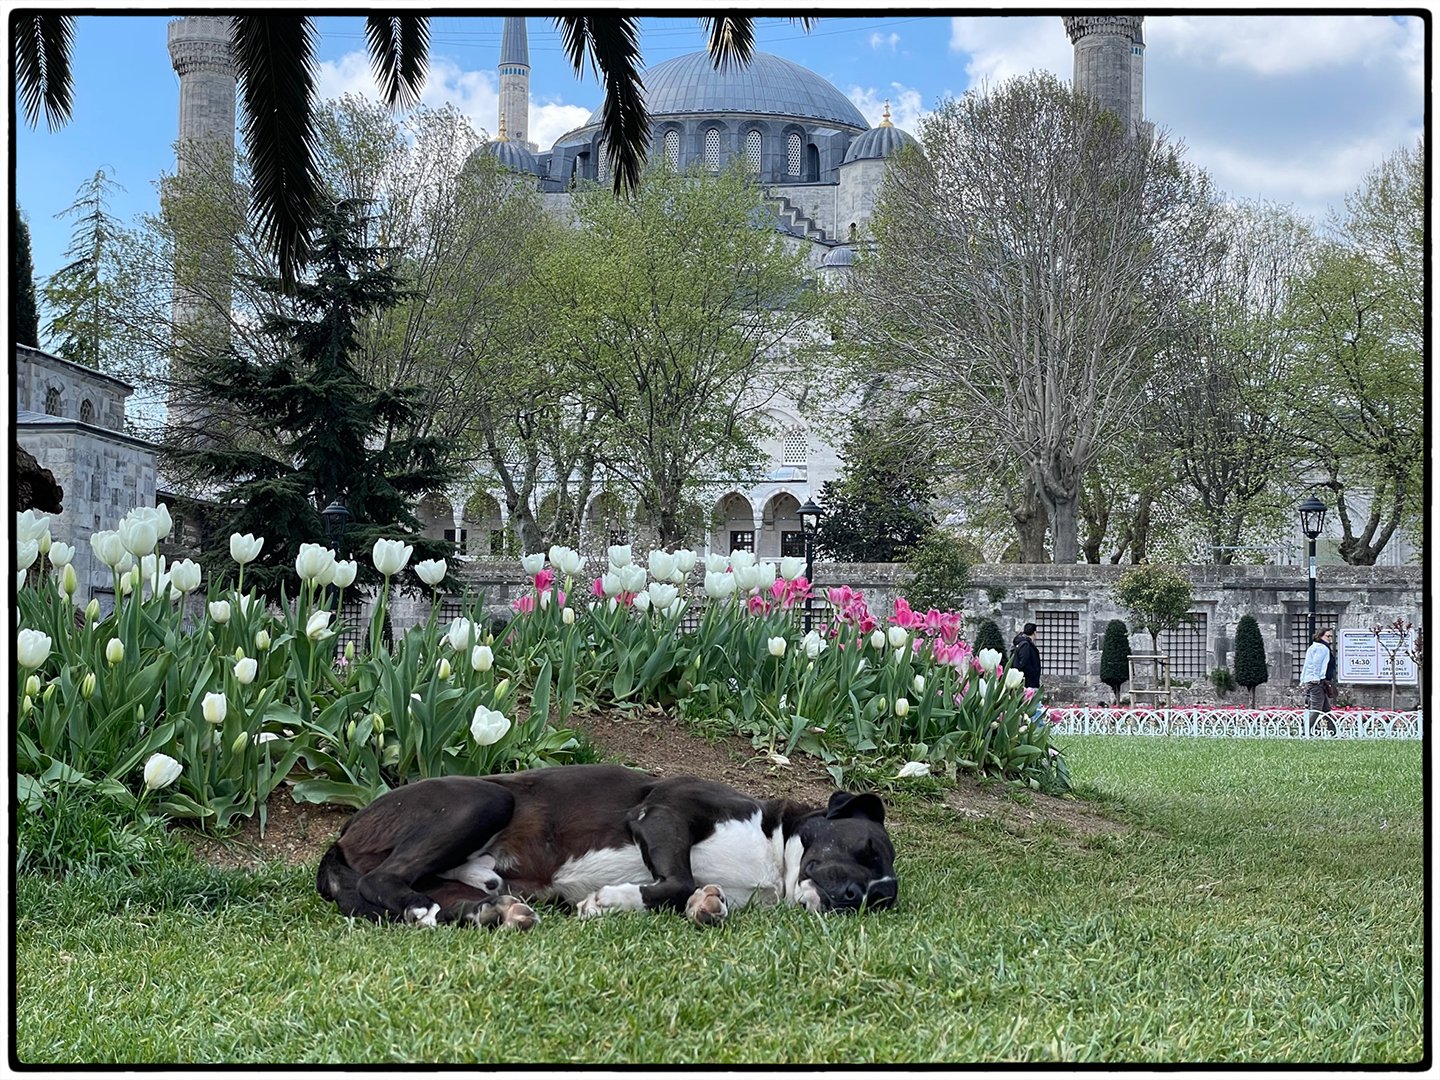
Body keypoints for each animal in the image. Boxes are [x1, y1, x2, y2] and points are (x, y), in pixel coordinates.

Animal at [321, 760, 892, 933]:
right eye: (866, 850)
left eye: (883, 897)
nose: (858, 897)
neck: (772, 857)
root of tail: (347, 830)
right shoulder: (662, 811)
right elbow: (676, 878)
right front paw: (610, 900)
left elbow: (693, 891)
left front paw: (706, 906)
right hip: (482, 799)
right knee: (382, 881)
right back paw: (423, 908)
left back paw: (492, 907)